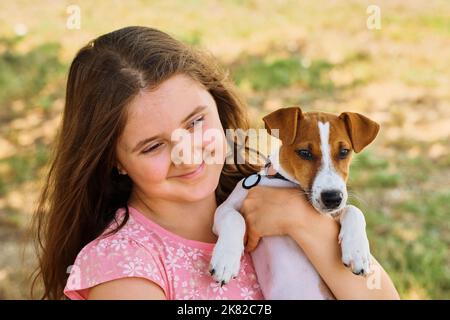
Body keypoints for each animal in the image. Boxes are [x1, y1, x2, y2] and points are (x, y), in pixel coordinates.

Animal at [209, 106, 378, 298]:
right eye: (304, 153)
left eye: (344, 152)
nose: (333, 198)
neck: (285, 182)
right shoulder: (225, 208)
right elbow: (235, 218)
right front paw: (225, 260)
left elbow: (354, 210)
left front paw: (358, 252)